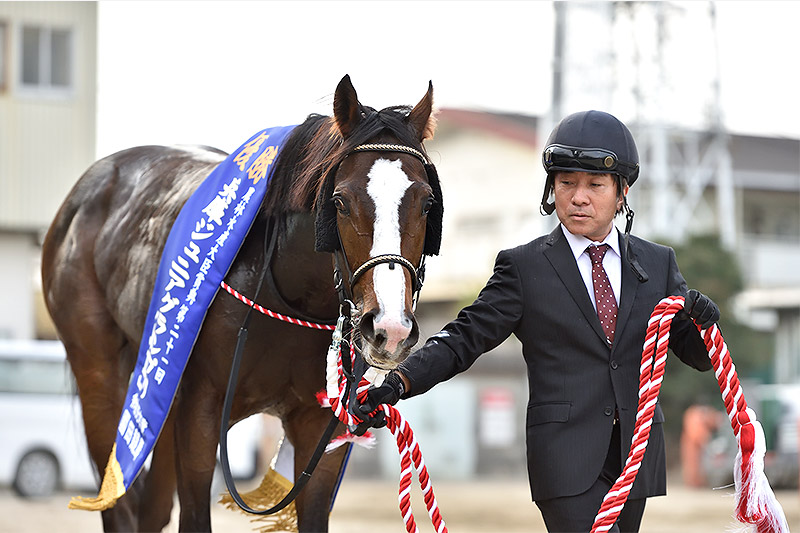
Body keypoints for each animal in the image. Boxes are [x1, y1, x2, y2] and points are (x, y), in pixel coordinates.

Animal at [40, 76, 440, 532]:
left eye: (427, 203)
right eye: (340, 201)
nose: (390, 328)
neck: (288, 292)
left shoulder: (319, 425)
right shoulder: (200, 411)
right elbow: (194, 515)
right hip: (101, 375)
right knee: (118, 502)